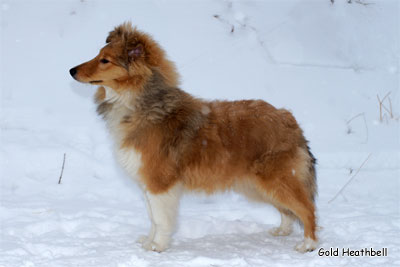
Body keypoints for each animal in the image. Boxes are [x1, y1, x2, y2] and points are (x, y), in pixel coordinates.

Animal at [69, 22, 318, 253]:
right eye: (99, 55)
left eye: (105, 60)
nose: (71, 70)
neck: (139, 103)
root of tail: (289, 119)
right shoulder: (148, 184)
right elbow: (152, 218)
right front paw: (149, 242)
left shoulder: (159, 183)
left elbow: (160, 218)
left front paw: (158, 246)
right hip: (257, 185)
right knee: (287, 210)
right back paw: (283, 230)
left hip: (277, 179)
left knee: (307, 208)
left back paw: (308, 244)